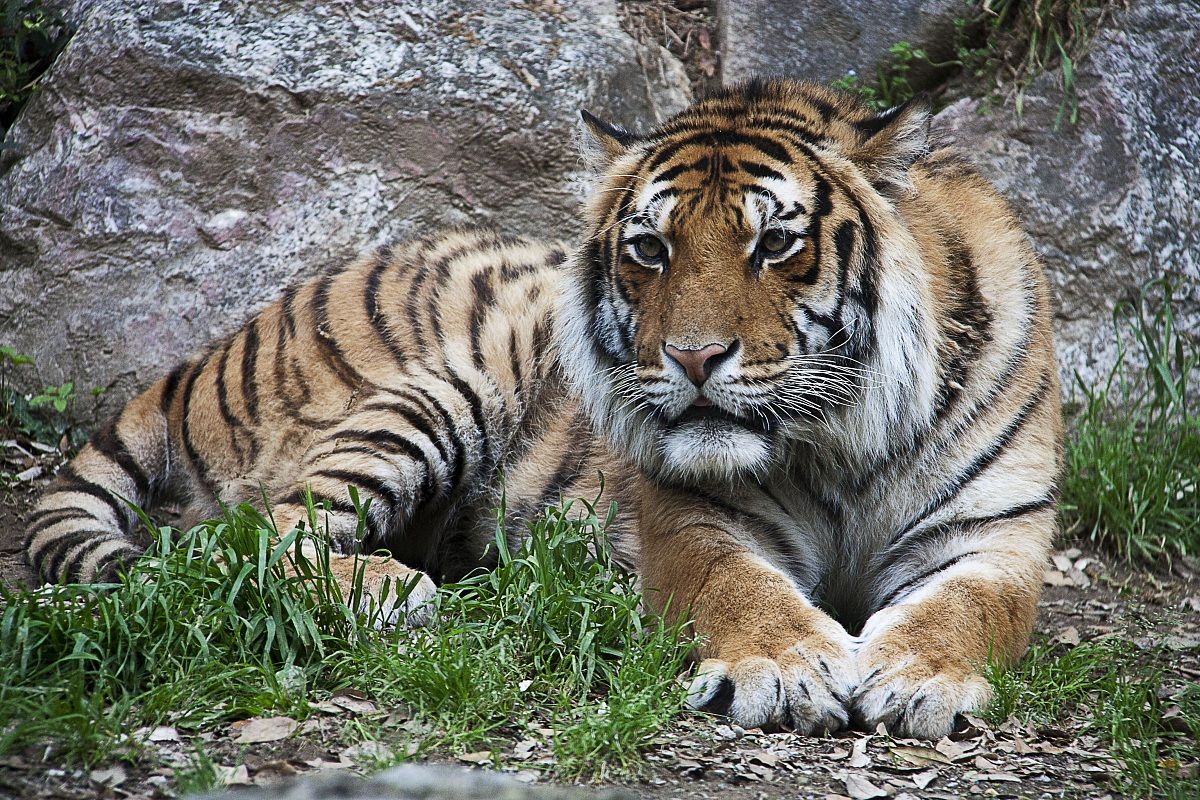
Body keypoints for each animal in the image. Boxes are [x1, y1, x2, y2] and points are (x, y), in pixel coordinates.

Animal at [24, 78, 1061, 739]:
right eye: (650, 249)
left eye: (775, 245)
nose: (693, 357)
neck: (840, 438)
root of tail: (210, 348)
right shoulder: (693, 517)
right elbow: (739, 589)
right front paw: (785, 668)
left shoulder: (995, 538)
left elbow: (970, 610)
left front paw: (920, 680)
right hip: (445, 386)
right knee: (244, 539)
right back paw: (396, 590)